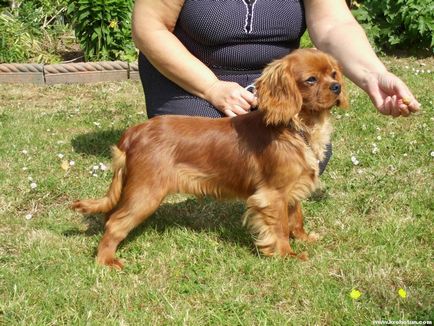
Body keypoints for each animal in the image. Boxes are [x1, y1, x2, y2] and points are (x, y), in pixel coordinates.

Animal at [73, 47, 348, 268]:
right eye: (311, 80)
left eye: (334, 74)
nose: (337, 87)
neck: (296, 127)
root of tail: (134, 132)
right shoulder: (273, 195)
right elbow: (279, 227)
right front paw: (287, 255)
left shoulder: (293, 188)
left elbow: (296, 217)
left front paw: (304, 238)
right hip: (146, 193)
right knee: (115, 223)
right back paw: (106, 260)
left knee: (111, 215)